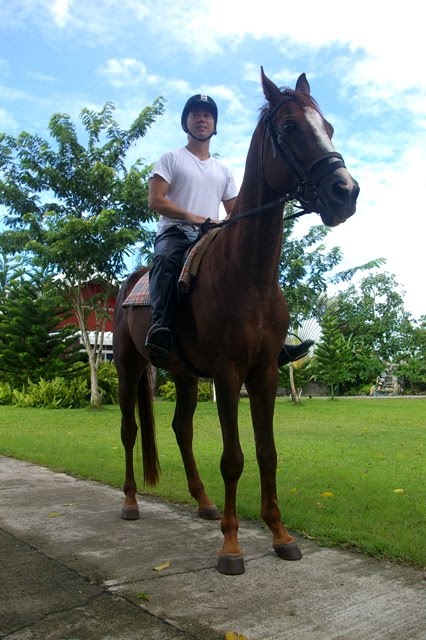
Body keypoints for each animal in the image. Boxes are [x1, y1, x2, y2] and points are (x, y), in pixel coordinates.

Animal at [113, 68, 359, 575]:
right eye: (290, 127)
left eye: (327, 126)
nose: (345, 192)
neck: (249, 274)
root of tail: (131, 283)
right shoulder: (228, 375)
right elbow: (233, 457)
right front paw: (230, 547)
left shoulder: (264, 373)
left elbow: (267, 453)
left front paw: (281, 535)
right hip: (129, 367)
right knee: (130, 430)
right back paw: (130, 502)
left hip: (185, 375)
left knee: (181, 429)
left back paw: (204, 502)